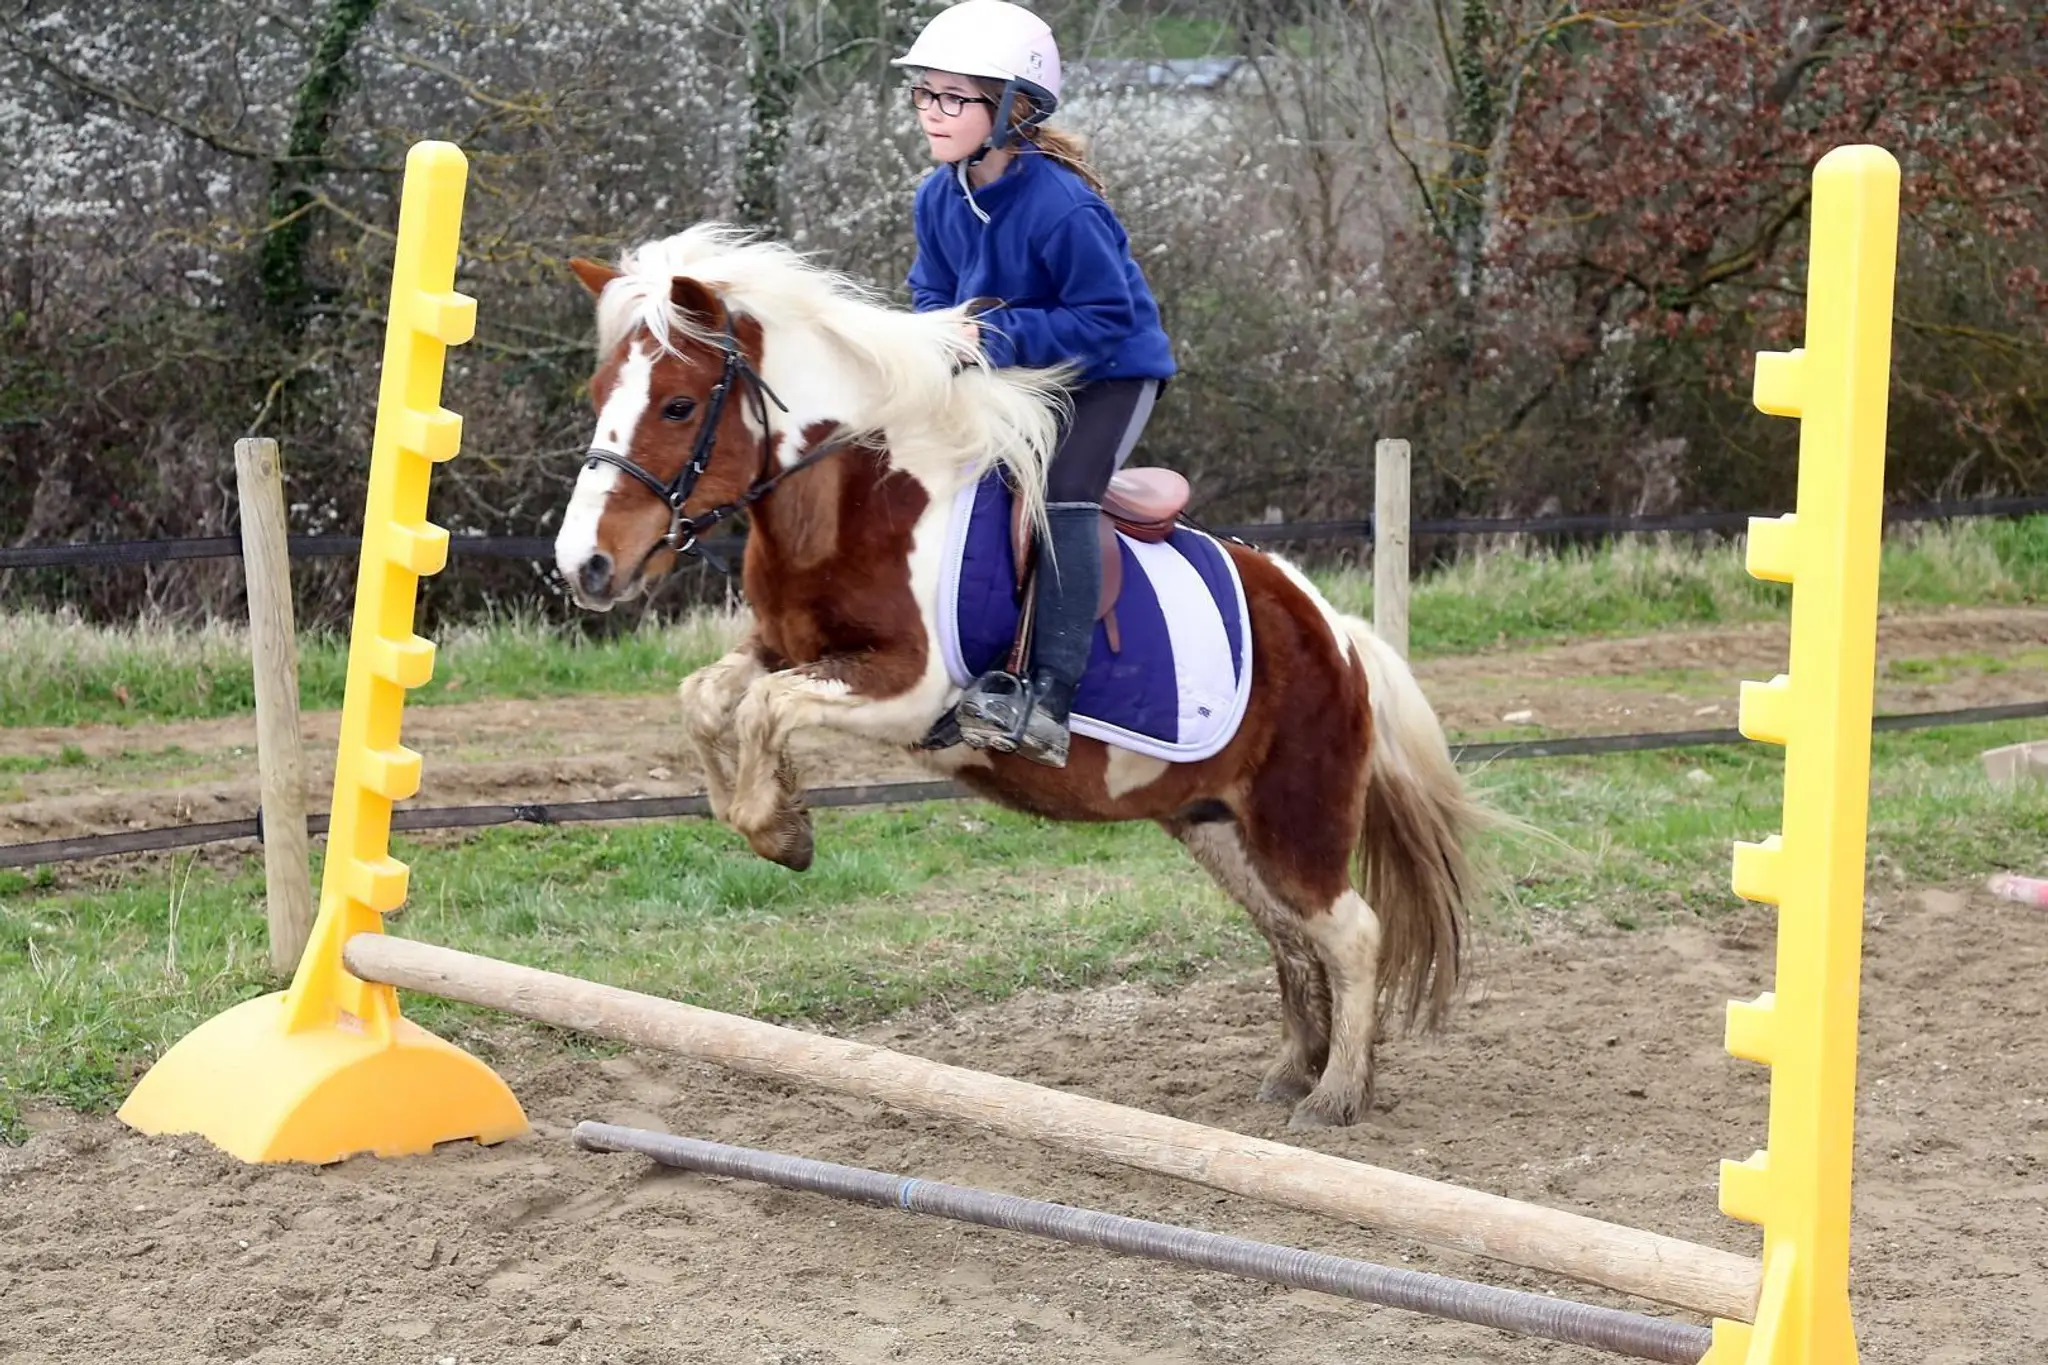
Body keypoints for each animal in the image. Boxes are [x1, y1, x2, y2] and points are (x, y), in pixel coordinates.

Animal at [551, 224, 1496, 1128]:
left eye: (678, 404)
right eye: (597, 397)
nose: (583, 566)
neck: (854, 498)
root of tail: (1337, 634)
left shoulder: (906, 689)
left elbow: (768, 710)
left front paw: (781, 831)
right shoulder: (783, 648)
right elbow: (711, 697)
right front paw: (767, 811)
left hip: (1296, 821)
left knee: (1353, 932)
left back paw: (1337, 1094)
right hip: (1214, 823)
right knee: (1291, 935)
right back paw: (1292, 1071)